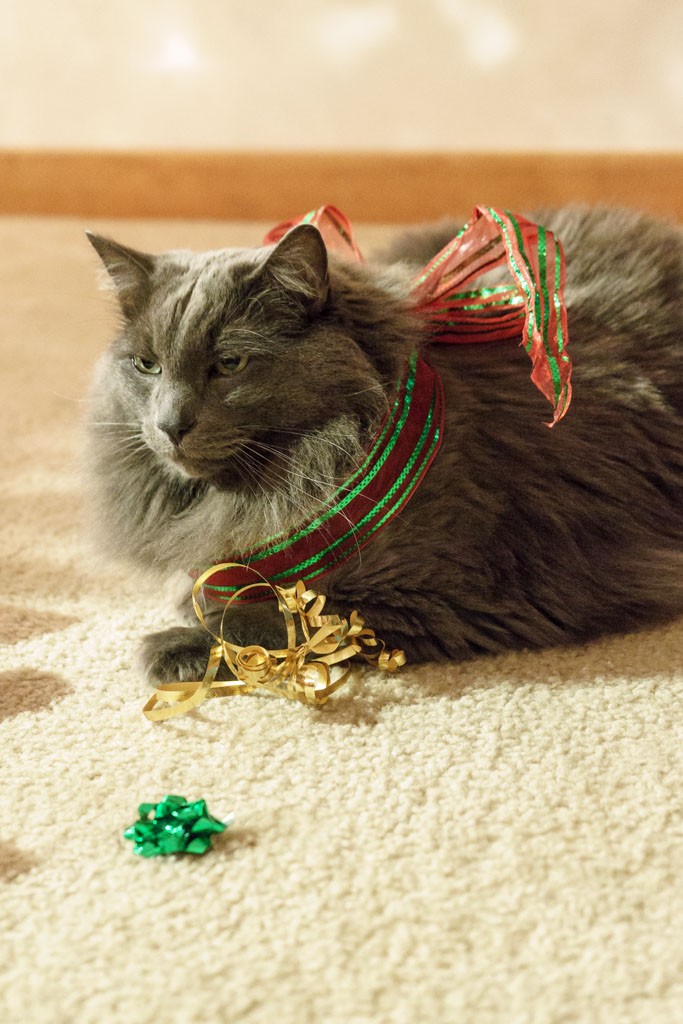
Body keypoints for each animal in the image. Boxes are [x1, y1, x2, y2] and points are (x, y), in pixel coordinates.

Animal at [87, 203, 683, 679]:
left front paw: (172, 646)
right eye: (147, 366)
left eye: (230, 364)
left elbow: (275, 617)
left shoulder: (446, 594)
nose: (170, 424)